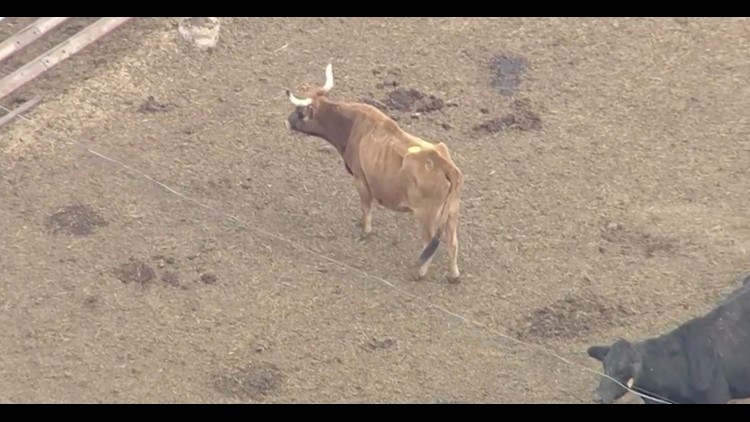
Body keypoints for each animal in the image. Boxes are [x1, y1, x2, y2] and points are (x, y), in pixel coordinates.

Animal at [286, 63, 464, 284]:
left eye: (300, 110)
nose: (288, 121)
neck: (353, 124)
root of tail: (443, 163)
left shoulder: (361, 180)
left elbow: (366, 207)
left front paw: (365, 231)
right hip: (451, 215)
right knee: (452, 243)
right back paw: (453, 275)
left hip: (425, 216)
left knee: (429, 244)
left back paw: (419, 273)